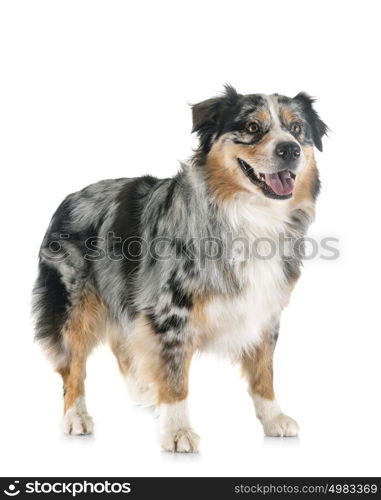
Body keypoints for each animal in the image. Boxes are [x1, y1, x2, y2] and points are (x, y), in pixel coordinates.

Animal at [31, 86, 326, 454]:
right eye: (252, 127)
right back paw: (75, 416)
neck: (250, 216)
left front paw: (273, 418)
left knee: (122, 343)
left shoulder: (265, 308)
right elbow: (174, 377)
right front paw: (177, 431)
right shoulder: (170, 312)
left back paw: (142, 389)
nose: (290, 149)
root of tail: (69, 197)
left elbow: (263, 371)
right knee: (73, 366)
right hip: (74, 304)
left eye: (297, 128)